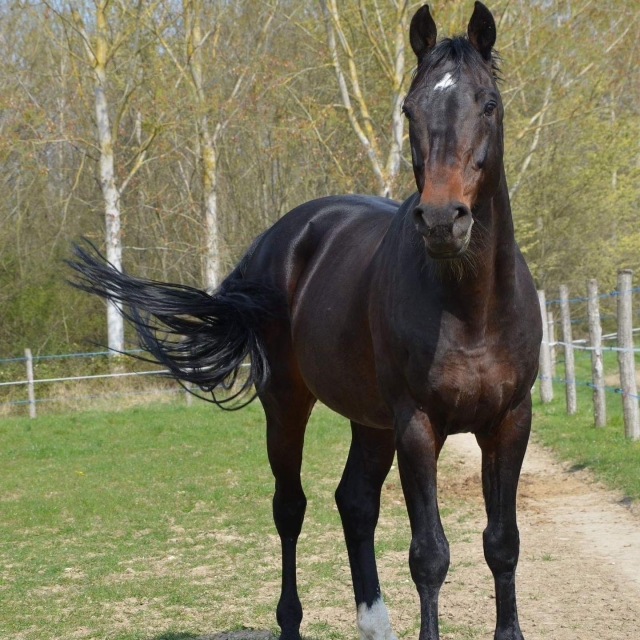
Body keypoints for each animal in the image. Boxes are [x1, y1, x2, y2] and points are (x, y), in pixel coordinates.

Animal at [69, 3, 541, 639]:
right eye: (410, 109)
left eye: (488, 104)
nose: (444, 220)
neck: (471, 308)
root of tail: (278, 238)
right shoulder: (418, 426)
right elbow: (430, 555)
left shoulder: (510, 422)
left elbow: (502, 544)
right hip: (290, 403)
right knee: (290, 508)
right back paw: (291, 618)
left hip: (371, 421)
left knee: (355, 502)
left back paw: (374, 623)